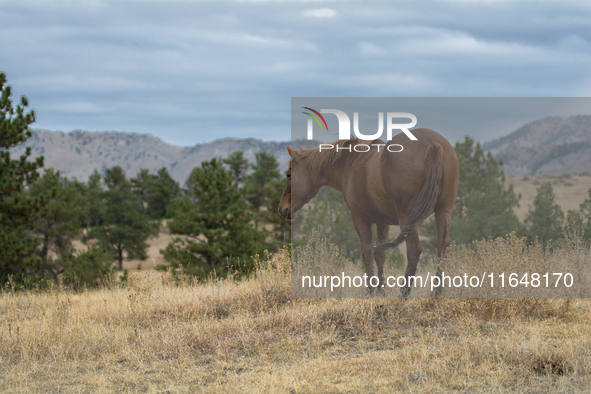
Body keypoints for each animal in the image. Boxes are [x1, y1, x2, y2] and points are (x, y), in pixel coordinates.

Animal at [280, 129, 460, 296]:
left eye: (289, 175)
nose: (282, 208)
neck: (351, 162)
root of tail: (432, 144)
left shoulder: (359, 218)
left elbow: (366, 252)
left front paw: (370, 290)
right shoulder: (382, 223)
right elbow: (380, 254)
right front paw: (381, 291)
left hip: (407, 218)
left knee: (414, 249)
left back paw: (404, 293)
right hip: (443, 210)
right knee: (442, 245)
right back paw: (436, 292)